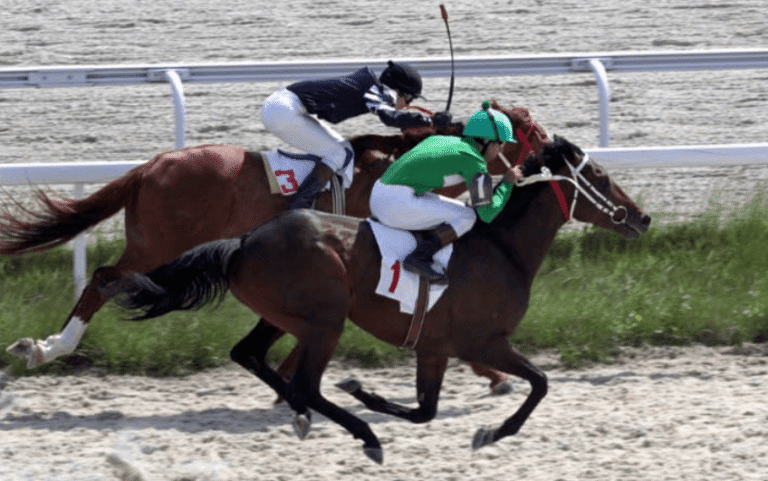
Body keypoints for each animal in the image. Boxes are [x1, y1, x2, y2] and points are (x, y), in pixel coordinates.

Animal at [2, 101, 549, 392]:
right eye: (531, 130)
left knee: (109, 281)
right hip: (155, 245)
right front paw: (492, 370)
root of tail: (149, 167)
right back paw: (48, 348)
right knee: (101, 279)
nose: (551, 151)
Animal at [100, 136, 651, 463]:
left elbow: (426, 410)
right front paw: (491, 433)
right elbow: (539, 383)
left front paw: (370, 395)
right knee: (306, 382)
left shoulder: (435, 347)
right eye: (600, 178)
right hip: (326, 320)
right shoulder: (484, 342)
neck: (502, 247)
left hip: (284, 314)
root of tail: (243, 240)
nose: (642, 217)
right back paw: (361, 433)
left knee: (251, 354)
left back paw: (305, 414)